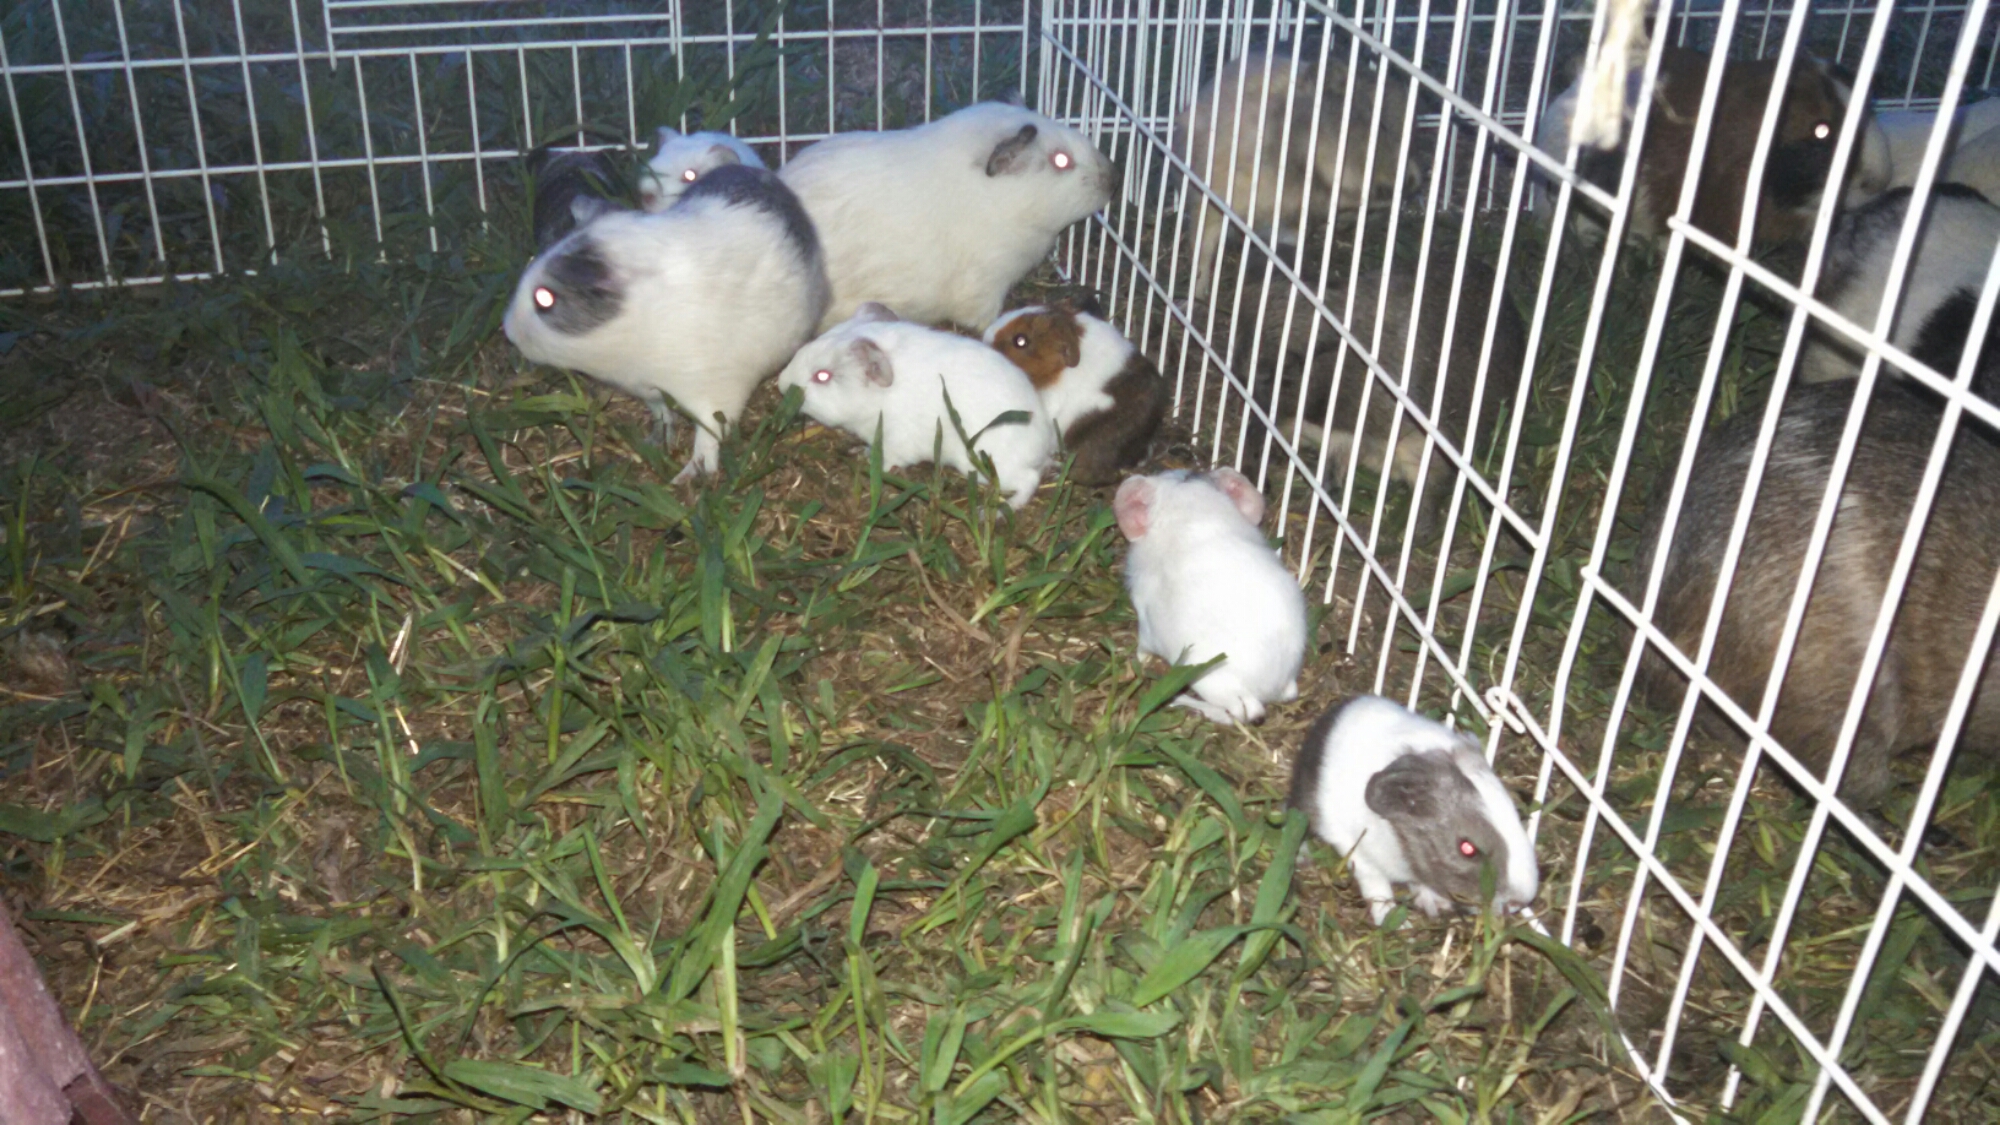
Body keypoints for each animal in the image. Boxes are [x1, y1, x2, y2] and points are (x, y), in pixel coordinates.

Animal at [502, 163, 831, 482]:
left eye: (545, 299)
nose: (508, 331)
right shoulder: (650, 391)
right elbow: (662, 415)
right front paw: (655, 442)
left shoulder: (714, 396)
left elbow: (708, 438)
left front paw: (684, 479)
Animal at [777, 303, 1057, 508]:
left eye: (822, 376)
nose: (780, 384)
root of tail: (1043, 445)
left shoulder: (896, 443)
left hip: (982, 465)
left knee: (1028, 481)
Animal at [1288, 694, 1540, 926]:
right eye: (1467, 848)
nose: (1519, 902)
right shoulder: (1358, 851)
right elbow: (1376, 885)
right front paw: (1396, 922)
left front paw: (1435, 906)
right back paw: (1302, 857)